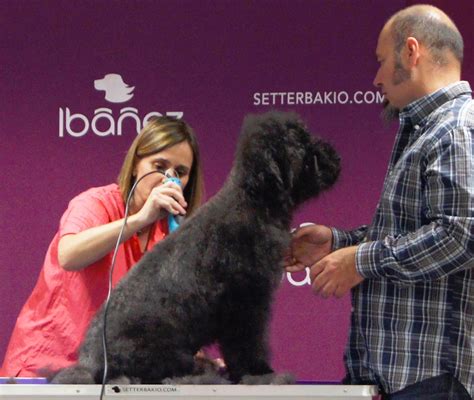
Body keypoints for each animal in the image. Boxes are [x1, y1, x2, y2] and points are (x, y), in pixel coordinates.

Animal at [51, 110, 340, 384]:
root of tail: (90, 365)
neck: (253, 203)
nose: (334, 154)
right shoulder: (247, 302)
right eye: (301, 143)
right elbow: (248, 344)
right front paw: (258, 371)